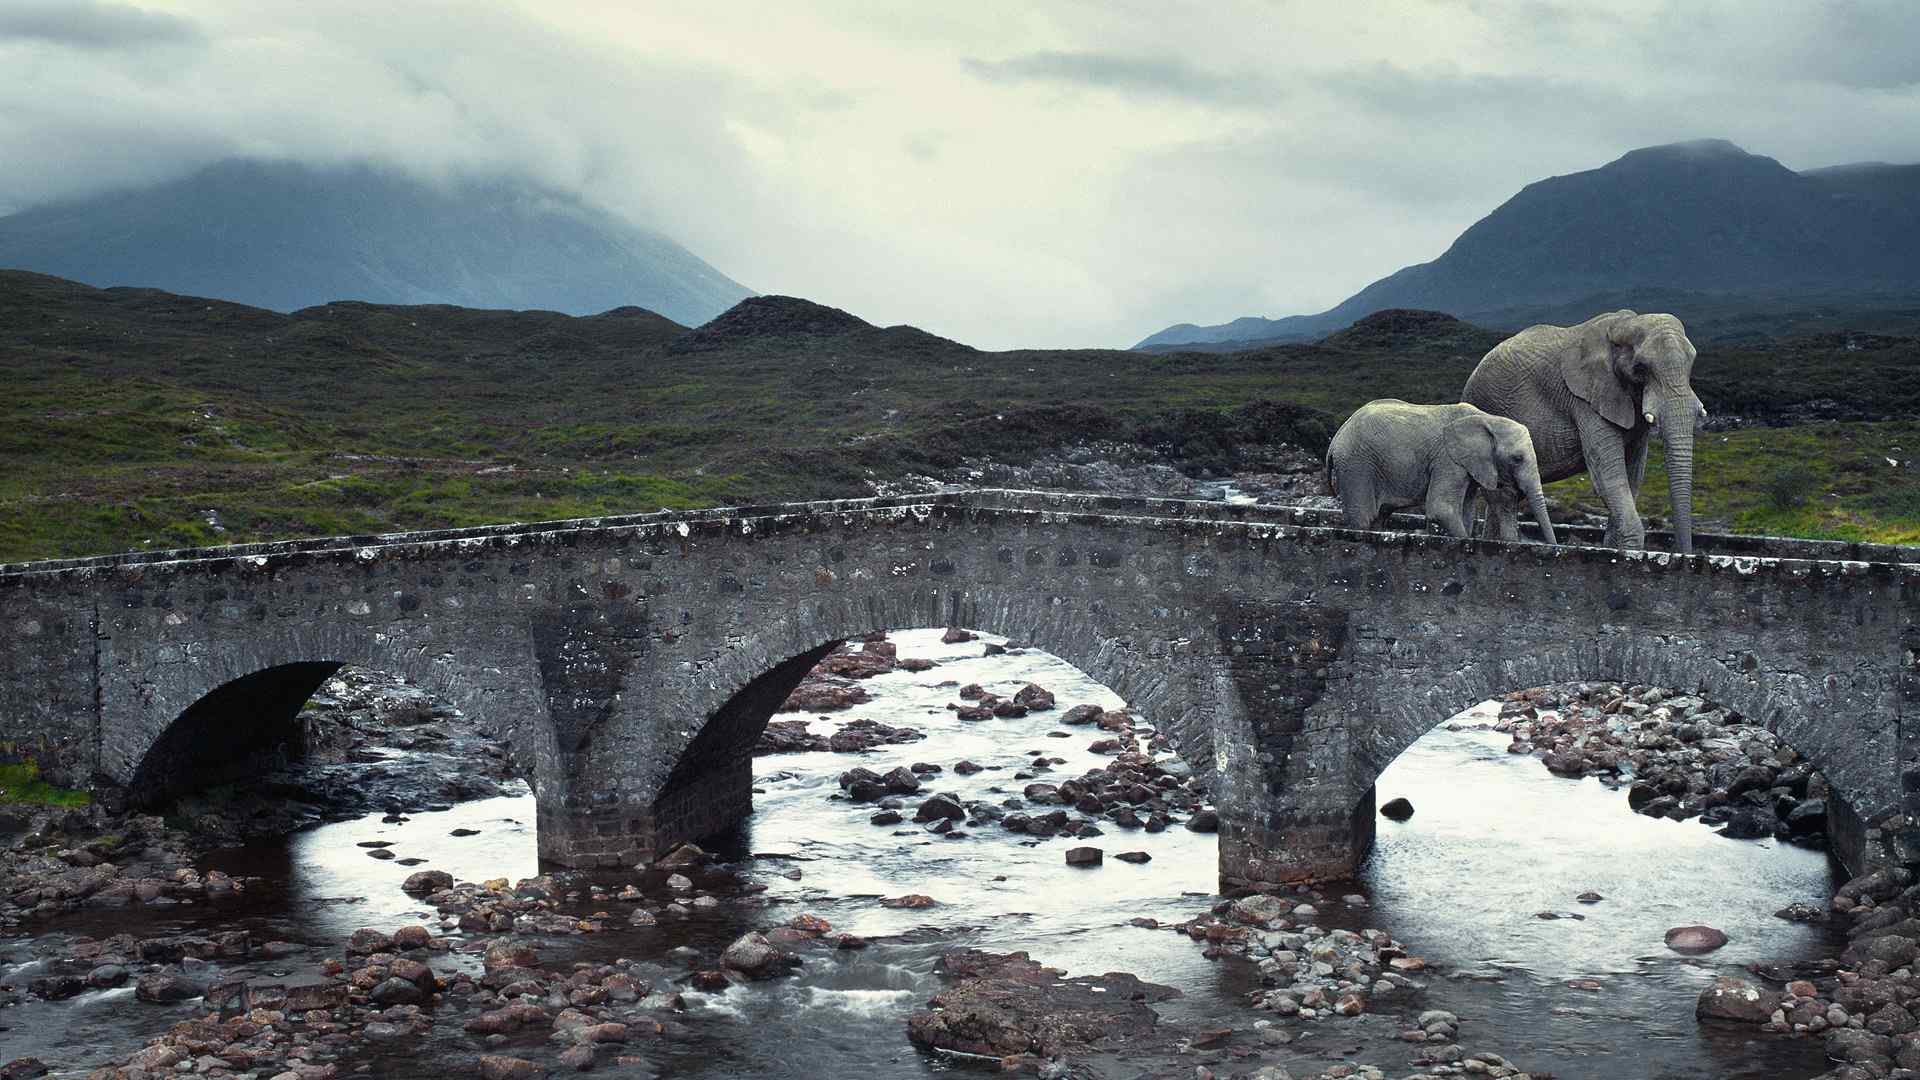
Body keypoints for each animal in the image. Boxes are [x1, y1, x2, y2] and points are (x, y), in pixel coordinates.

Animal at [1328, 399, 1551, 541]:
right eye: (1517, 459)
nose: (1554, 546)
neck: (1488, 419)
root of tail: (1337, 436)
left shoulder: (1470, 464)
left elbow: (1466, 511)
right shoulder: (1447, 458)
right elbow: (1442, 509)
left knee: (1378, 517)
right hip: (1356, 464)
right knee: (1363, 518)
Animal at [1459, 309, 1704, 545]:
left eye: (1692, 362)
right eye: (1641, 368)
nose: (1684, 552)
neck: (1622, 325)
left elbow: (1633, 474)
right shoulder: (1586, 400)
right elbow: (1607, 475)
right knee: (1504, 497)